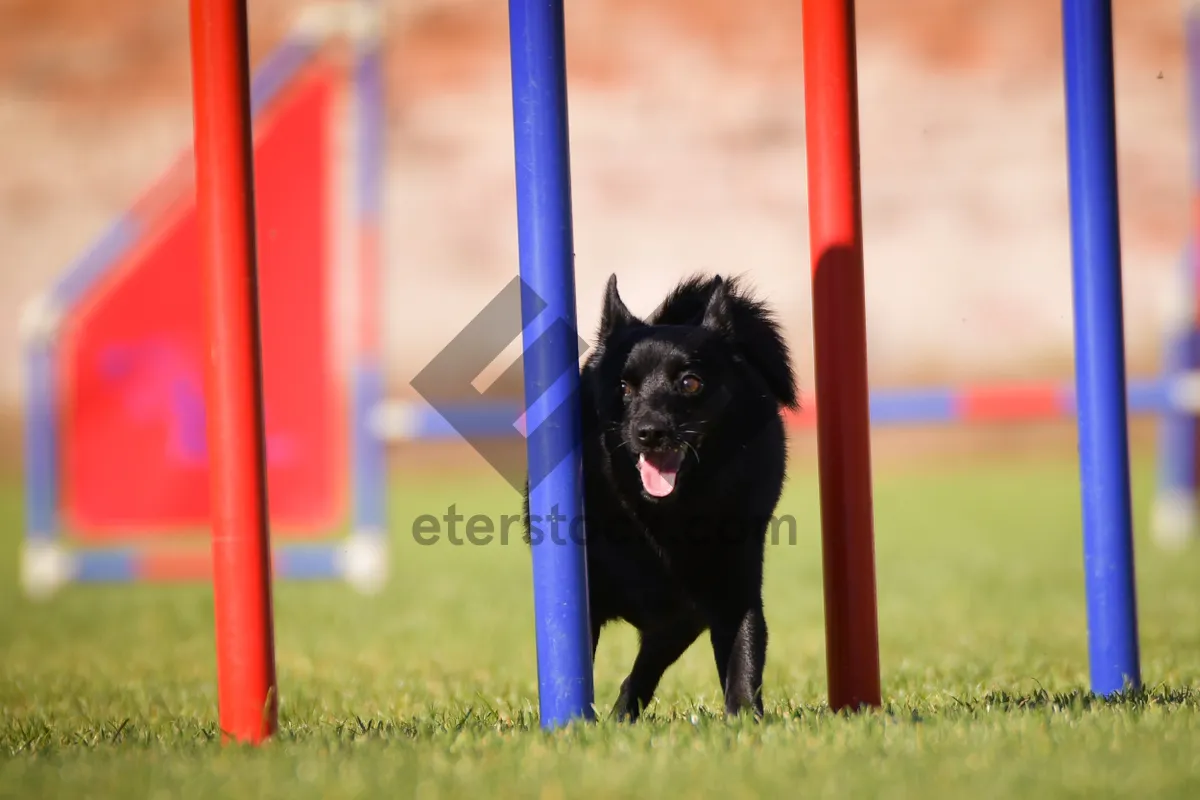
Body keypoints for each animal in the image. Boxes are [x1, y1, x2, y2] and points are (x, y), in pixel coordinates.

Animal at [523, 272, 796, 724]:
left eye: (690, 382)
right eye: (623, 386)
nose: (651, 432)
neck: (660, 519)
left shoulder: (731, 594)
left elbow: (743, 662)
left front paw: (745, 723)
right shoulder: (586, 601)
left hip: (682, 620)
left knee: (644, 669)